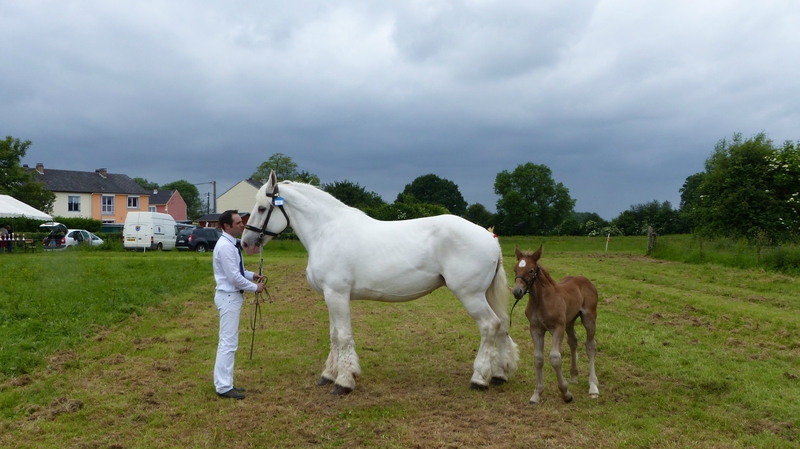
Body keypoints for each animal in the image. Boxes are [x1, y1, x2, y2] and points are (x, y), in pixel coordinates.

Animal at [241, 170, 520, 394]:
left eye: (262, 208)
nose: (246, 243)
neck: (327, 232)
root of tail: (488, 236)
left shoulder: (337, 294)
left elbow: (343, 336)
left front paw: (343, 382)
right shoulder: (330, 296)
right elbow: (333, 335)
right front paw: (329, 375)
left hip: (470, 295)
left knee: (489, 326)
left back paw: (479, 378)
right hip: (483, 295)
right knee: (502, 326)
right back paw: (499, 374)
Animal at [512, 245, 600, 402]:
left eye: (531, 270)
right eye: (515, 270)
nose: (517, 292)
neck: (541, 301)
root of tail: (584, 279)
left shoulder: (558, 328)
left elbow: (555, 358)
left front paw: (566, 393)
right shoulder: (536, 329)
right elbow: (538, 358)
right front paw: (537, 393)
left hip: (589, 318)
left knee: (591, 346)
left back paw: (593, 387)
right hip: (570, 321)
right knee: (573, 341)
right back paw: (574, 376)